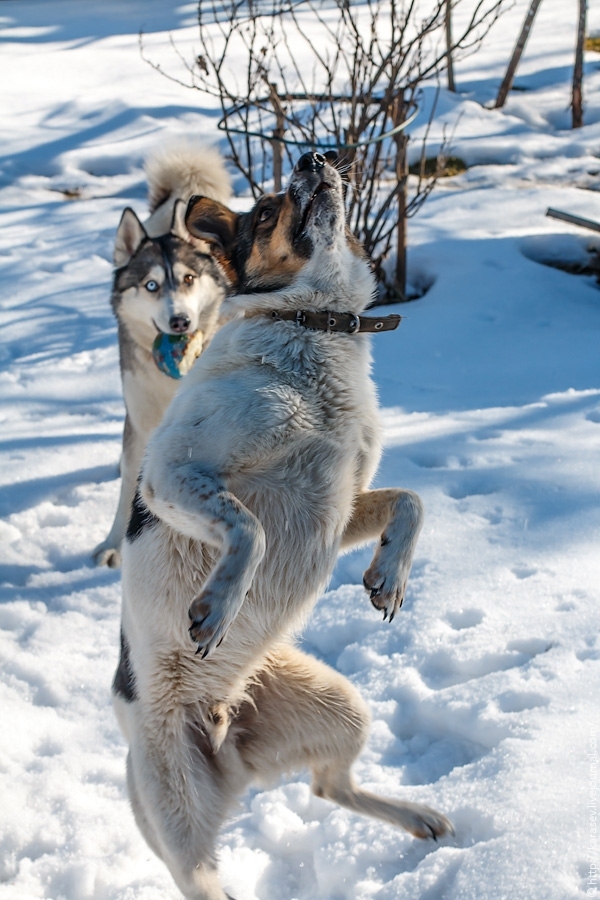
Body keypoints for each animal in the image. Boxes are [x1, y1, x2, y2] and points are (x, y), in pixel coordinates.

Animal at [92, 143, 231, 568]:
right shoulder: (140, 420)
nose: (180, 321)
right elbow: (129, 483)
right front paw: (114, 544)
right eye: (151, 285)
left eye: (188, 278)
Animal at [112, 151, 452, 896]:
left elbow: (411, 500)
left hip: (340, 706)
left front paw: (389, 575)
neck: (309, 324)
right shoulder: (172, 474)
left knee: (331, 787)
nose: (314, 155)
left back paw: (419, 817)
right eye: (267, 210)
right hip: (182, 830)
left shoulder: (343, 503)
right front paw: (217, 606)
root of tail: (226, 737)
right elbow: (250, 530)